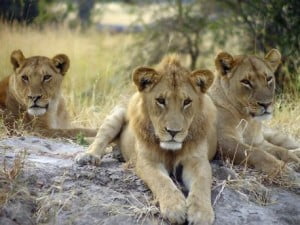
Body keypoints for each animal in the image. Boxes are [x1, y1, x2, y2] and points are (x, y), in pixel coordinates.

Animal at [76, 55, 217, 225]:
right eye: (161, 100)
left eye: (187, 102)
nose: (173, 132)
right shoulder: (146, 161)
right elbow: (162, 181)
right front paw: (175, 208)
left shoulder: (198, 161)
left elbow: (202, 183)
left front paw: (201, 213)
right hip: (116, 115)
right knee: (101, 138)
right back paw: (89, 156)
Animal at [209, 49, 300, 178]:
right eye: (246, 82)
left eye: (268, 78)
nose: (266, 104)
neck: (247, 118)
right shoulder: (222, 141)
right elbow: (256, 153)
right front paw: (284, 170)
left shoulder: (258, 141)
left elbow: (281, 150)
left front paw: (296, 162)